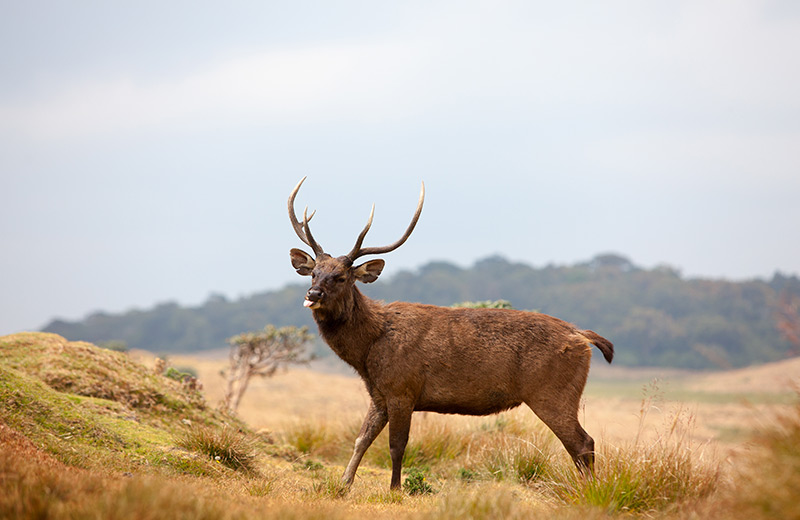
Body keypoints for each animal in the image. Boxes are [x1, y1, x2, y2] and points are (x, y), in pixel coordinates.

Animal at [288, 177, 612, 490]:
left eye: (341, 277)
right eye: (314, 272)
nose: (313, 294)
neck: (368, 350)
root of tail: (582, 336)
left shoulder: (402, 388)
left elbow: (396, 445)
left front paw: (395, 488)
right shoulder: (379, 394)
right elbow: (361, 439)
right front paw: (344, 483)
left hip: (553, 391)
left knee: (583, 443)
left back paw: (591, 492)